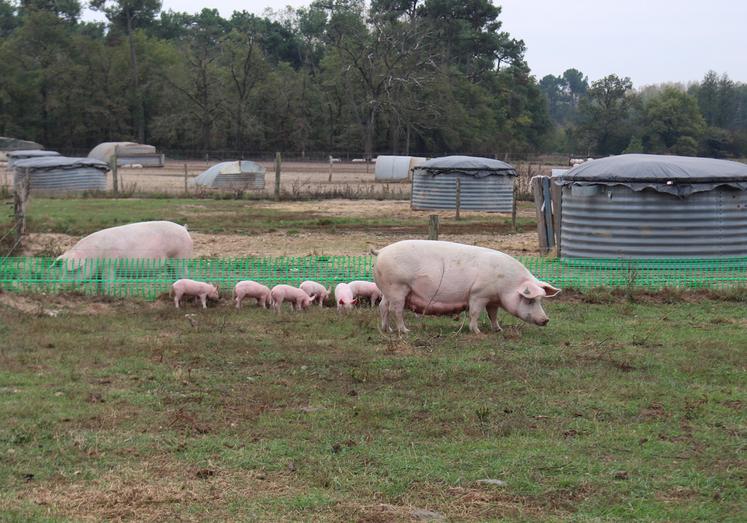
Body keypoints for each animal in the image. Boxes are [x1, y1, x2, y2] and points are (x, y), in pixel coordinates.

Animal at [374, 239, 560, 334]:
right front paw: (477, 332)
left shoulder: (492, 299)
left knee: (383, 307)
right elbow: (475, 313)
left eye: (541, 300)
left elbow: (493, 315)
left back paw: (387, 329)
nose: (546, 320)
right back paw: (405, 331)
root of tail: (381, 251)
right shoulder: (479, 294)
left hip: (387, 289)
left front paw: (498, 330)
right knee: (396, 310)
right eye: (530, 300)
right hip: (398, 287)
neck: (507, 284)